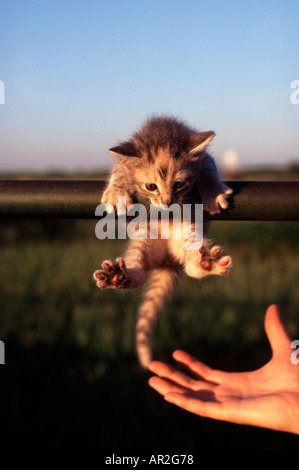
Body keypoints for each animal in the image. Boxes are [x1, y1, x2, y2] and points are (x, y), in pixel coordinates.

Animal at [93, 114, 232, 368]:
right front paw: (116, 190)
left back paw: (205, 265)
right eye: (151, 186)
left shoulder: (202, 158)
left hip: (190, 235)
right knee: (137, 271)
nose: (167, 202)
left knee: (191, 265)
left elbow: (209, 166)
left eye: (179, 184)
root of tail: (168, 258)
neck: (163, 132)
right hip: (143, 240)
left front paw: (214, 191)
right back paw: (118, 276)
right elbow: (120, 169)